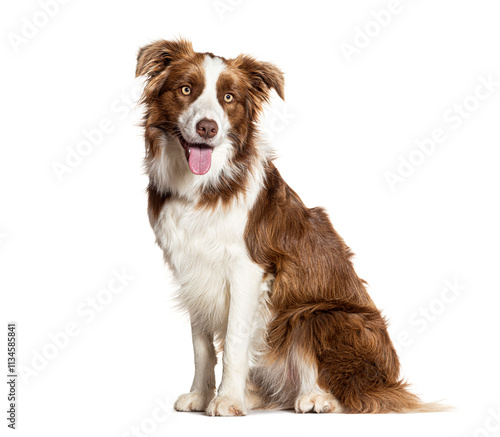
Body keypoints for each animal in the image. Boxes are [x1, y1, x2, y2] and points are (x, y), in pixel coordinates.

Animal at [135, 39, 444, 414]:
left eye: (228, 98)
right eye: (185, 90)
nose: (208, 127)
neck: (204, 187)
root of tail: (389, 380)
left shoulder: (247, 269)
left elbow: (235, 341)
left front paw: (226, 400)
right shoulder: (191, 269)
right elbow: (201, 345)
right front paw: (200, 395)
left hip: (320, 314)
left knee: (353, 393)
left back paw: (315, 398)